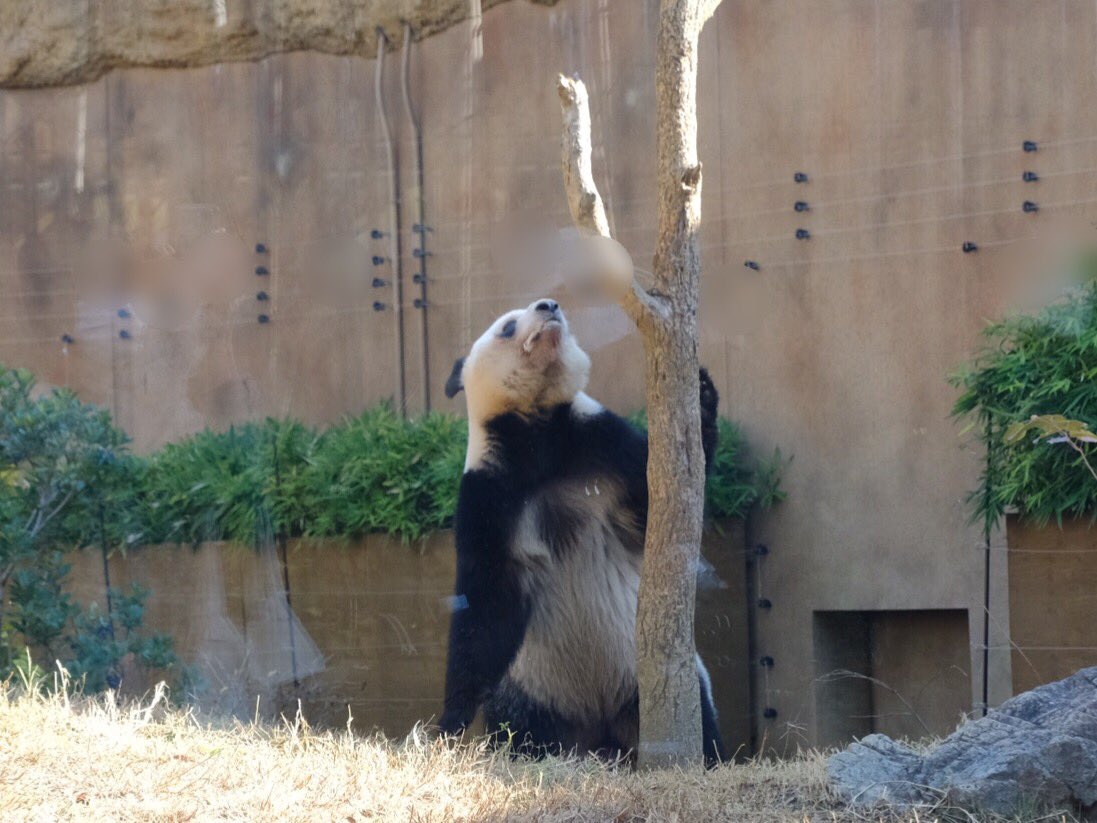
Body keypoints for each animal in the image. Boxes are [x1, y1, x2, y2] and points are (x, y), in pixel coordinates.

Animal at [438, 297, 726, 766]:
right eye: (508, 327)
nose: (549, 305)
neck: (540, 436)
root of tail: (599, 730)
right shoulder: (490, 493)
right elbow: (487, 601)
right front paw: (449, 724)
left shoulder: (601, 444)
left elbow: (655, 501)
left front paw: (699, 397)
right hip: (532, 689)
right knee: (519, 731)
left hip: (641, 678)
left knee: (698, 714)